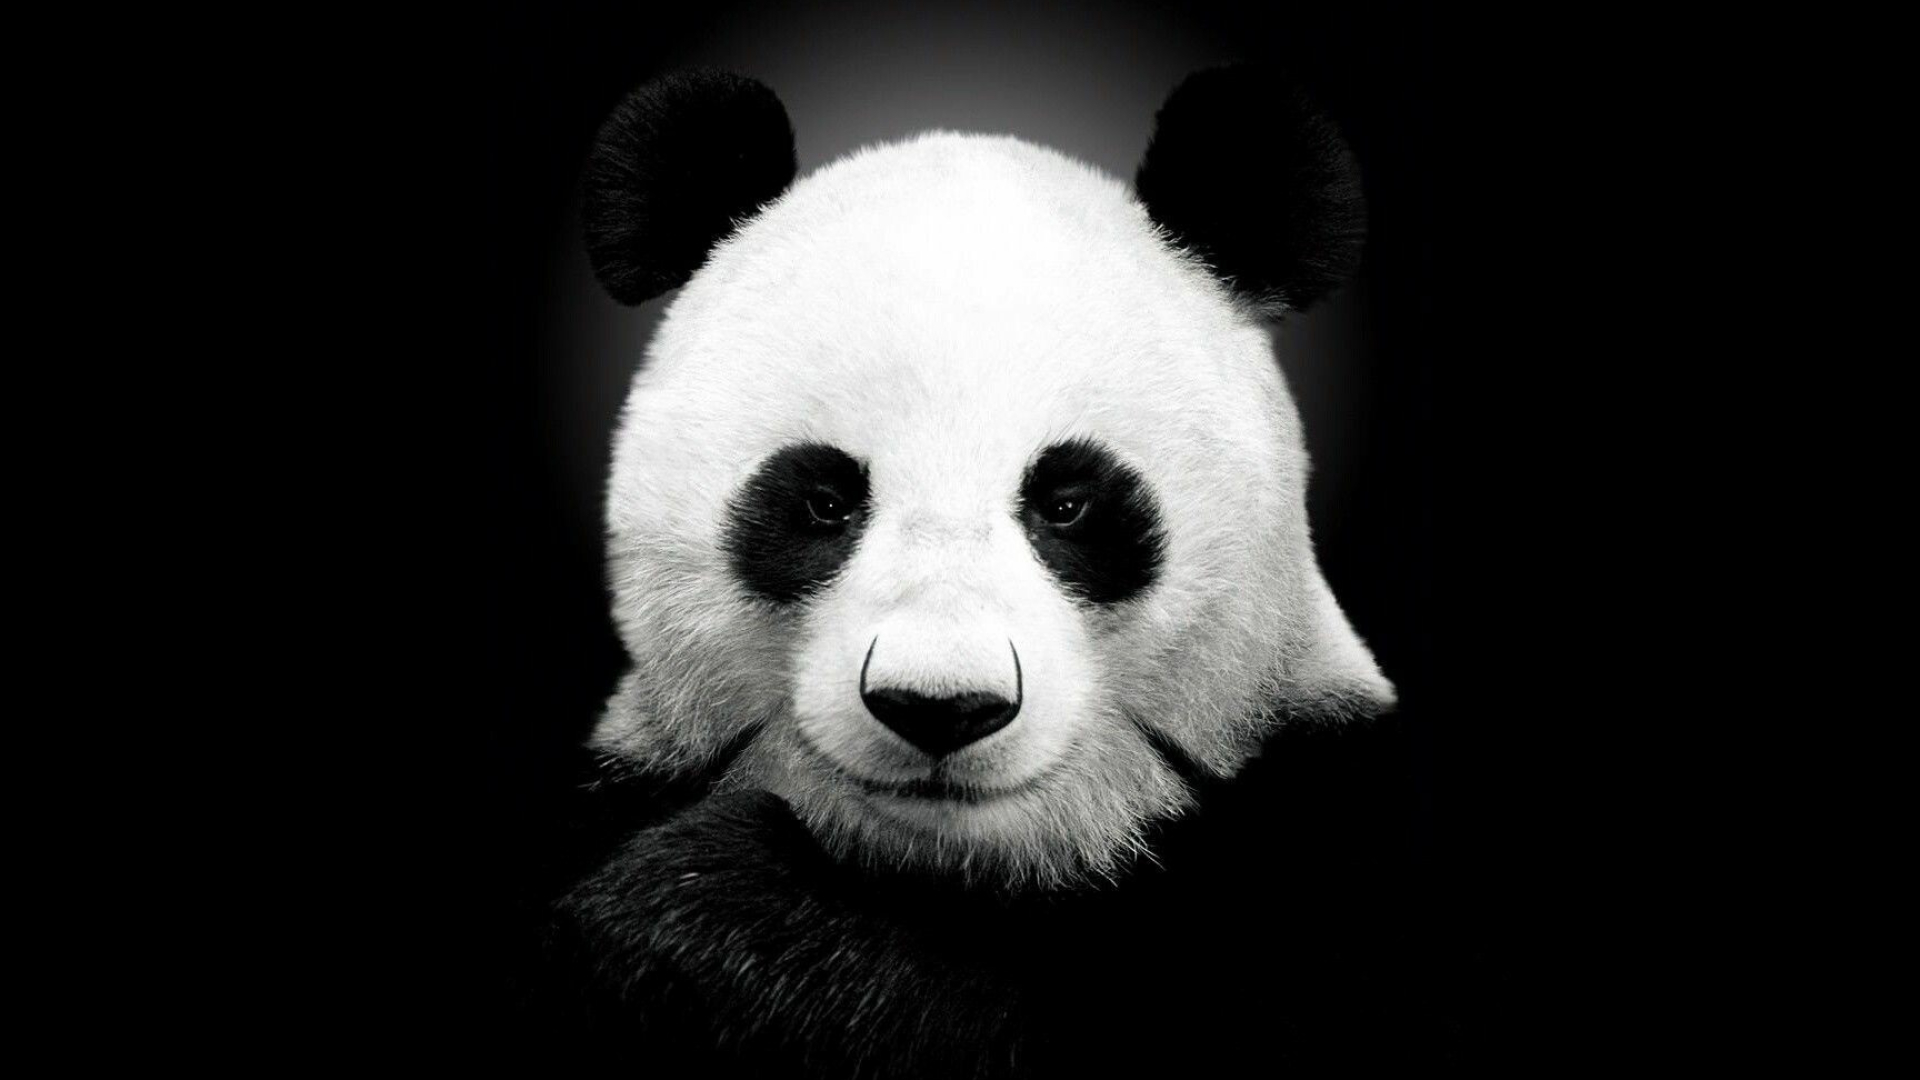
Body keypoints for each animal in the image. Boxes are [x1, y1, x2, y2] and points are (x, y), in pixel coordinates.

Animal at [516, 66, 1482, 1074]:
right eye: (824, 501)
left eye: (1068, 503)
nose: (940, 707)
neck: (958, 869)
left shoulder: (1333, 855)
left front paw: (705, 914)